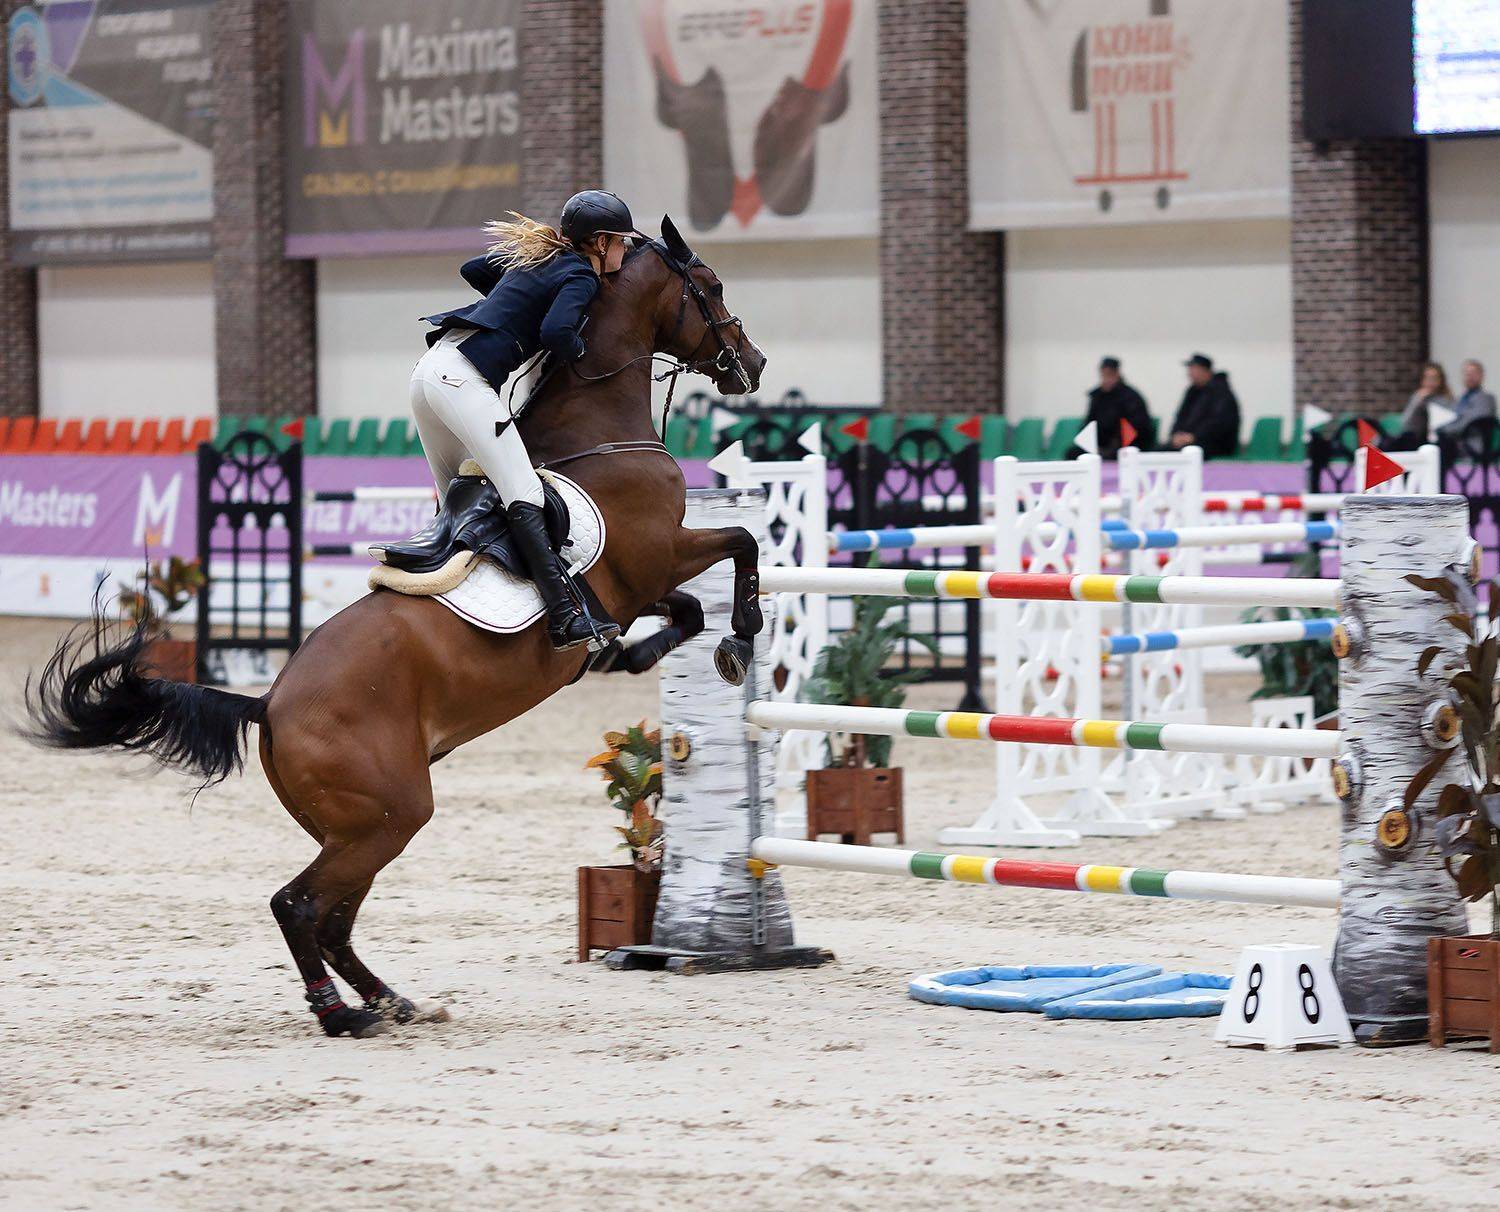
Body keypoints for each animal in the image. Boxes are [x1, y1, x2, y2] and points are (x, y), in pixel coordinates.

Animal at [22, 218, 770, 1039]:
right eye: (712, 286)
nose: (754, 364)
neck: (598, 431)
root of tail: (268, 704)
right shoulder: (659, 554)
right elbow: (740, 543)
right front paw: (741, 636)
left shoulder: (645, 583)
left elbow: (687, 609)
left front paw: (635, 654)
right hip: (390, 815)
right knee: (300, 905)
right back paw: (344, 1015)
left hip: (363, 824)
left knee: (333, 919)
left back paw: (391, 1000)